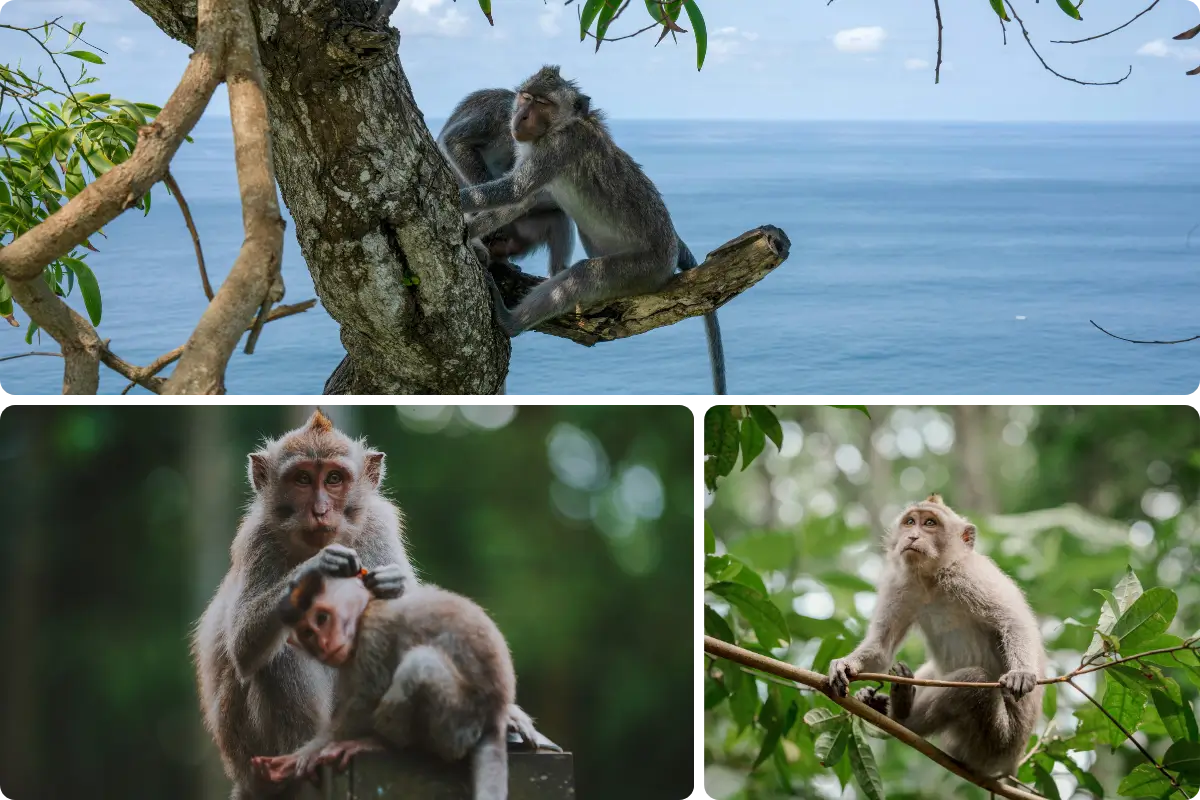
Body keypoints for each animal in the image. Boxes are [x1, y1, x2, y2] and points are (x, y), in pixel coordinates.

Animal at [250, 569, 514, 800]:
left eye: (322, 618)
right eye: (307, 633)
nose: (324, 644)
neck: (366, 609)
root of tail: (495, 718)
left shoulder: (373, 635)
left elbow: (366, 699)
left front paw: (306, 754)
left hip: (458, 724)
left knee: (419, 666)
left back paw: (380, 744)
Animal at [457, 66, 728, 397]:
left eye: (542, 103)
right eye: (525, 97)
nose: (520, 117)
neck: (560, 127)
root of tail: (670, 251)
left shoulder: (562, 147)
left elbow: (514, 190)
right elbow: (518, 203)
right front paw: (472, 234)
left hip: (644, 269)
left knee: (584, 275)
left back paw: (510, 321)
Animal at [826, 494, 1045, 779]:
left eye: (930, 523)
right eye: (910, 522)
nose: (912, 536)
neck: (933, 578)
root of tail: (1010, 765)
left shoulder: (971, 576)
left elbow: (1014, 622)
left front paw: (1021, 673)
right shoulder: (901, 584)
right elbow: (880, 648)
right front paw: (845, 665)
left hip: (993, 744)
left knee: (974, 682)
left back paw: (901, 716)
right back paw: (881, 702)